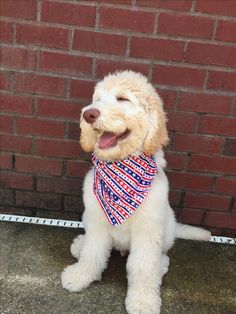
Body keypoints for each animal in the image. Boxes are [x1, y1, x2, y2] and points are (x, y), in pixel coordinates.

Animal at [60, 71, 210, 314]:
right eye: (97, 99)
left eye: (122, 99)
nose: (89, 114)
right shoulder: (97, 221)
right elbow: (93, 252)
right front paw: (80, 275)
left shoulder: (147, 232)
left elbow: (143, 267)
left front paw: (143, 301)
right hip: (87, 217)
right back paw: (80, 245)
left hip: (166, 230)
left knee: (160, 257)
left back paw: (161, 264)